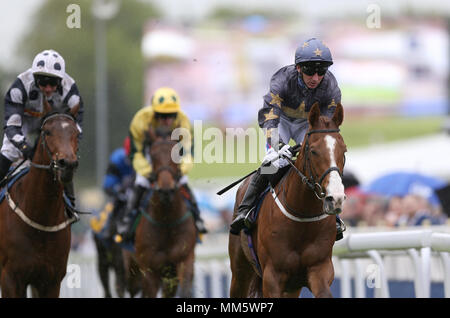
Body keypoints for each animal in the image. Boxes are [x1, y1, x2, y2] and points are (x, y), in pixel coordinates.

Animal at [128, 126, 197, 298]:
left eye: (179, 153)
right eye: (153, 155)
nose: (166, 190)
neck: (166, 221)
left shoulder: (184, 259)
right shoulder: (149, 269)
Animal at [230, 103, 346, 296]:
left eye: (344, 150)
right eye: (313, 151)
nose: (335, 198)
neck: (302, 216)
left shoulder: (320, 269)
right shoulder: (272, 277)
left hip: (292, 287)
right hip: (240, 272)